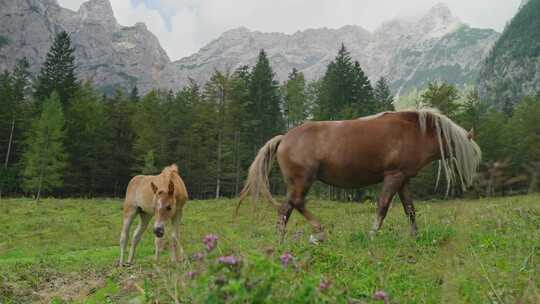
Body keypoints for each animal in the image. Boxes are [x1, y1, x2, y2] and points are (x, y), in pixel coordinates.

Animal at [239, 108, 480, 242]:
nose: (471, 186)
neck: (413, 131)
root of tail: (284, 138)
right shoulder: (393, 176)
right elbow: (383, 206)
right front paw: (372, 234)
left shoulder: (403, 179)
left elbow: (410, 209)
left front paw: (415, 236)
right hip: (302, 181)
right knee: (296, 203)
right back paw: (319, 231)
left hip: (295, 183)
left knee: (285, 209)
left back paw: (280, 241)